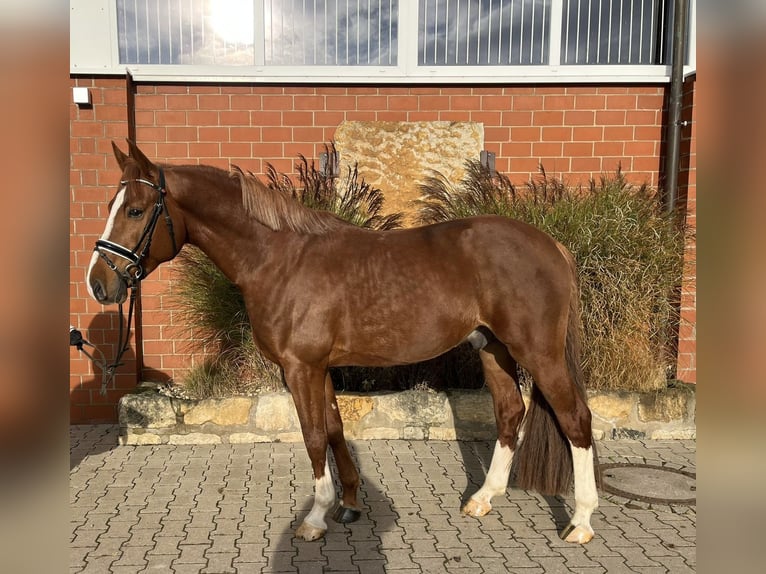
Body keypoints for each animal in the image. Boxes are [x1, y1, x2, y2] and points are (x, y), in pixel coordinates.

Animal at [86, 140, 598, 544]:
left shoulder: (300, 368)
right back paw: (484, 498)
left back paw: (581, 522)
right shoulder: (320, 368)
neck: (279, 258)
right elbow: (334, 431)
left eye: (135, 210)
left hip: (539, 353)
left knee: (576, 419)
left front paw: (315, 517)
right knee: (511, 413)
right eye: (112, 205)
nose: (98, 284)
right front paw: (349, 504)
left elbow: (314, 437)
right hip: (494, 348)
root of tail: (552, 246)